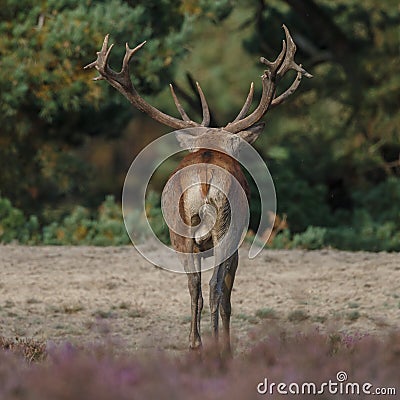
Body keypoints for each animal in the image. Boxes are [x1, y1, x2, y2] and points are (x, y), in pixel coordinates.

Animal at [85, 25, 312, 356]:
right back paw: (219, 347)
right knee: (214, 289)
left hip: (179, 233)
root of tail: (204, 182)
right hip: (227, 228)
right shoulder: (237, 244)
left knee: (193, 287)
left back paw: (194, 343)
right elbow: (226, 296)